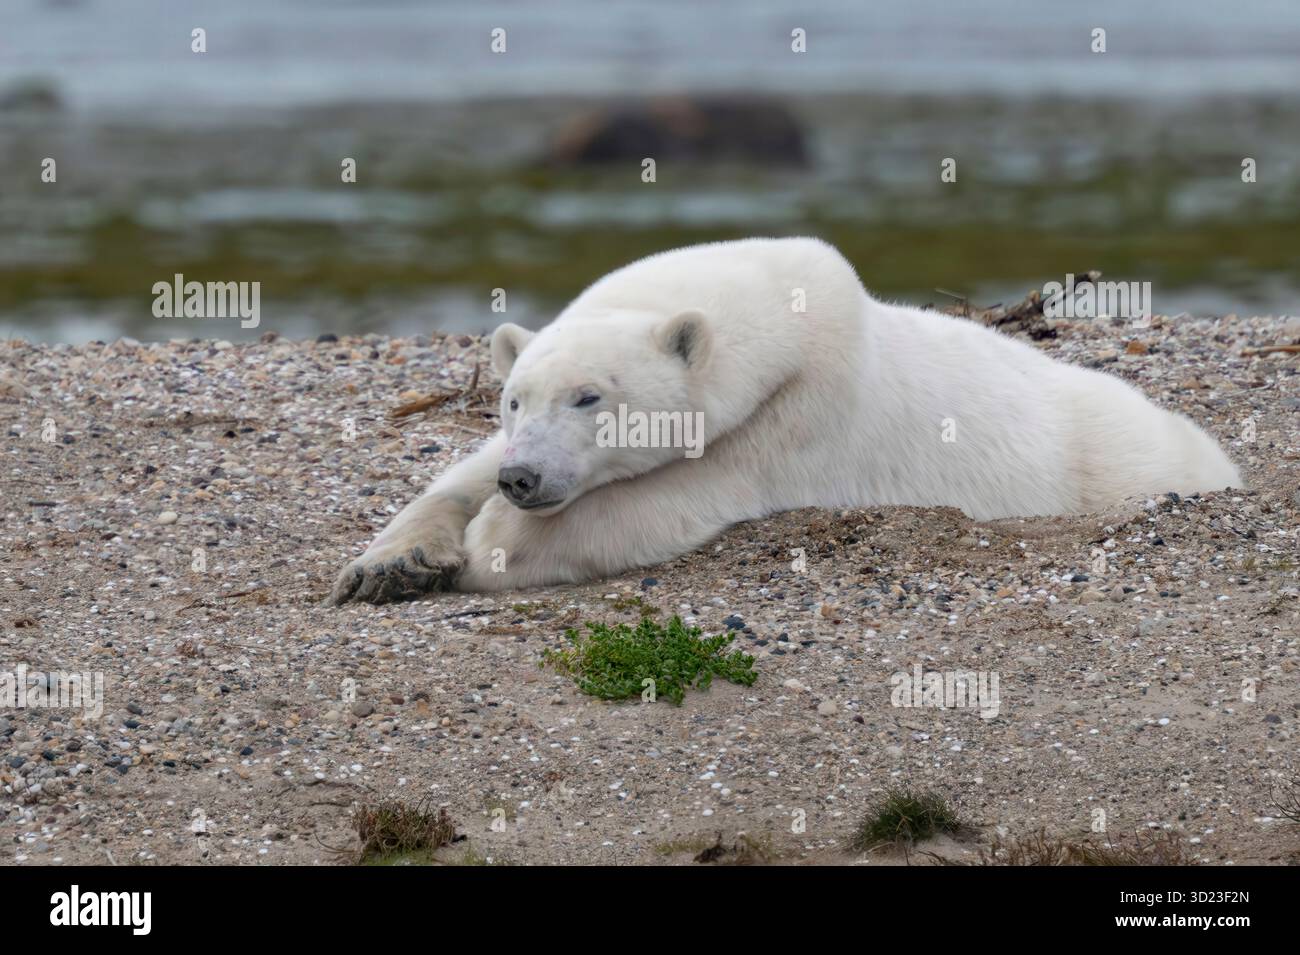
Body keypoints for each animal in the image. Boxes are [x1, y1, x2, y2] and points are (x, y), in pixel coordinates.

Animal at [331, 237, 1241, 604]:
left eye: (591, 397)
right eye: (514, 397)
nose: (523, 477)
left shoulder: (798, 423)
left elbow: (654, 507)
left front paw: (492, 541)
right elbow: (454, 471)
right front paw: (393, 562)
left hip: (1117, 455)